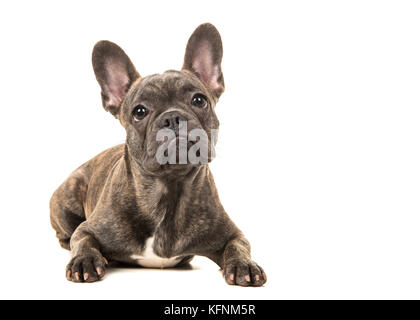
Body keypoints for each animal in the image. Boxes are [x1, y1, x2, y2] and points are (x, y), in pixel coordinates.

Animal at [49, 23, 266, 286]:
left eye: (199, 100)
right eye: (139, 112)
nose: (172, 117)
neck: (168, 187)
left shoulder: (232, 234)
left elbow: (238, 246)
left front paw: (245, 265)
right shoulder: (89, 229)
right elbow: (82, 241)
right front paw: (85, 261)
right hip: (66, 196)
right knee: (67, 235)